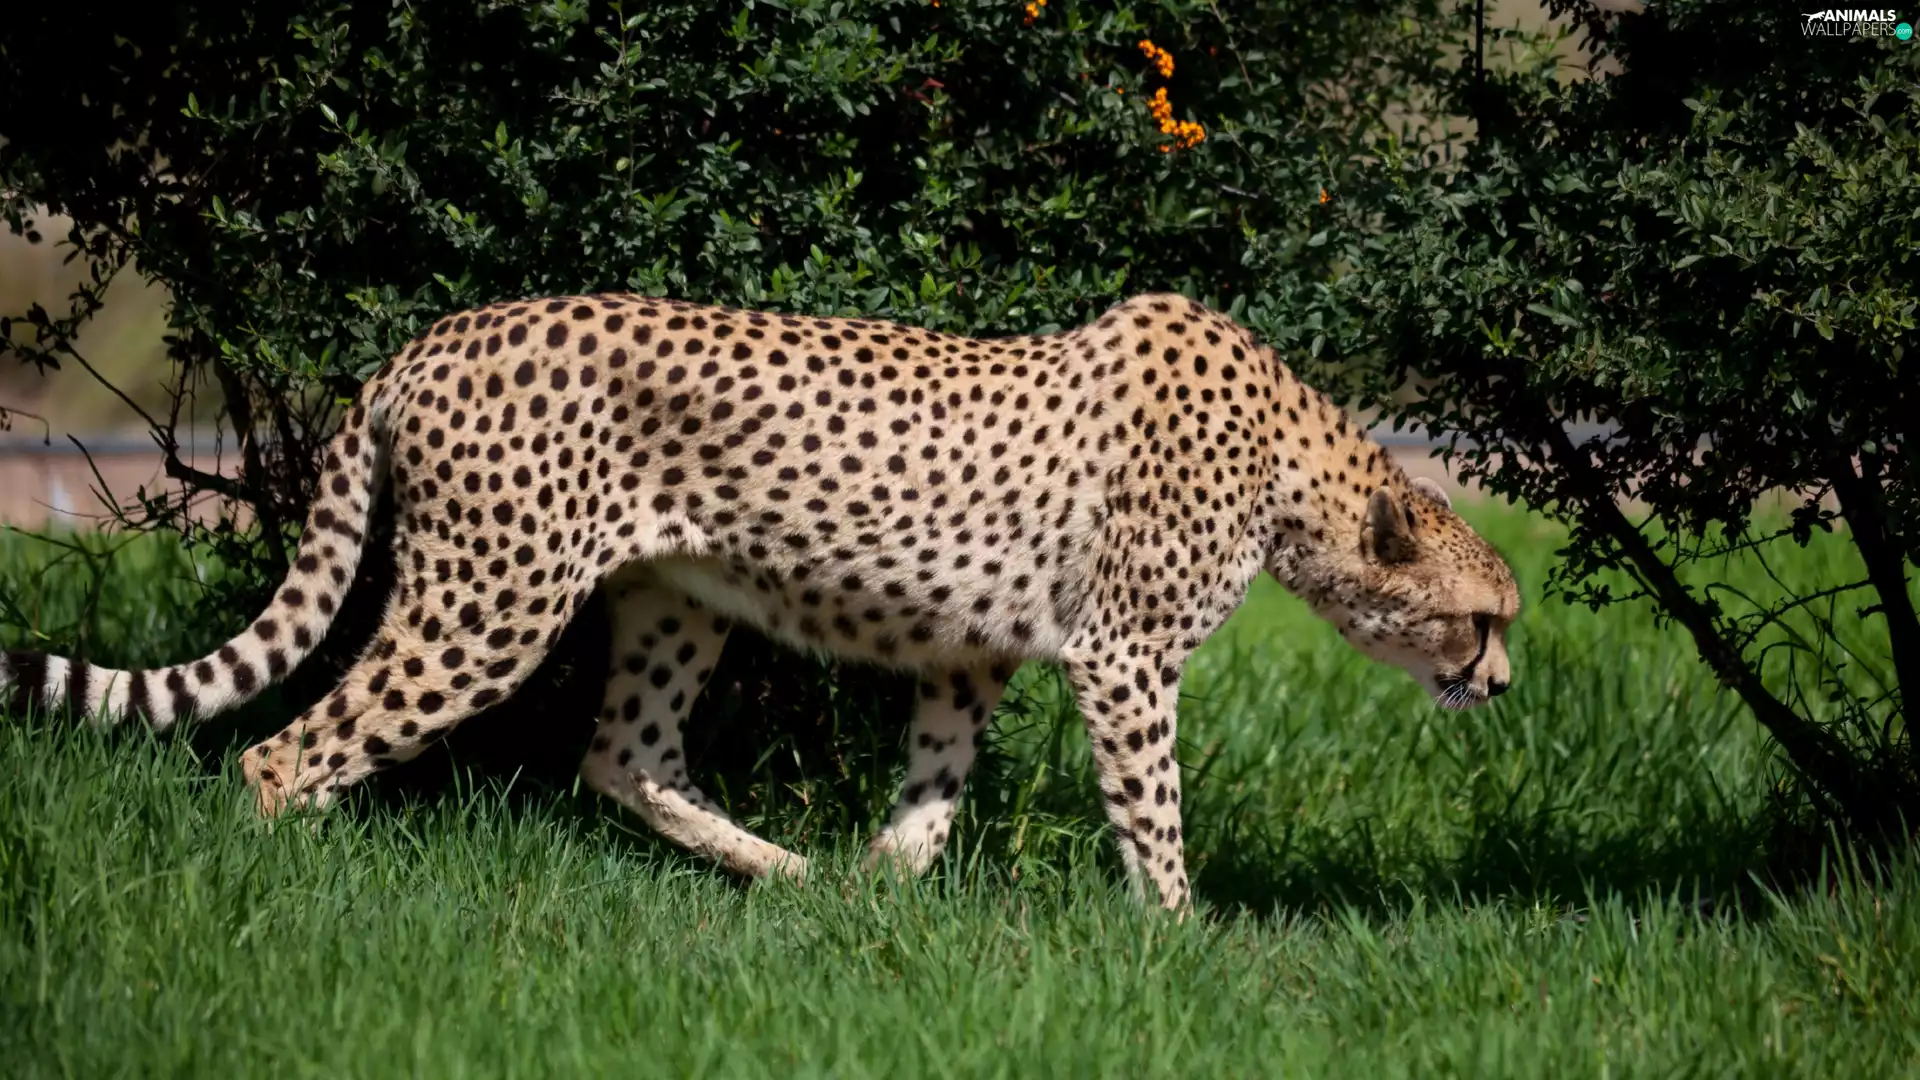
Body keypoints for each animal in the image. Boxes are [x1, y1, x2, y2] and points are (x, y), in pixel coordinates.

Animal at [1, 291, 1520, 912]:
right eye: (1486, 618)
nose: (1504, 685)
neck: (1303, 474)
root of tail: (428, 341)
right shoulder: (1127, 659)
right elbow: (1154, 814)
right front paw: (1181, 937)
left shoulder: (973, 656)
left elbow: (933, 790)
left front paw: (882, 894)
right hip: (491, 598)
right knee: (287, 748)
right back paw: (297, 881)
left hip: (676, 597)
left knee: (624, 753)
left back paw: (785, 875)